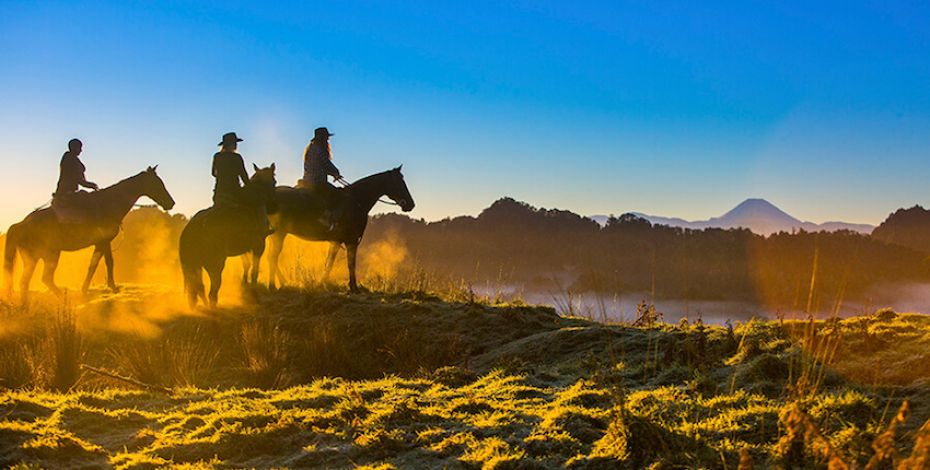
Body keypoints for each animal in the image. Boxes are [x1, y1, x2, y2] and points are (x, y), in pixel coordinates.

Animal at [4, 167, 176, 302]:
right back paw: (62, 299)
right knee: (43, 278)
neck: (107, 204)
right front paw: (100, 289)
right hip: (48, 255)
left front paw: (100, 288)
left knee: (25, 282)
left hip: (34, 258)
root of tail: (21, 224)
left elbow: (101, 264)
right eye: (157, 183)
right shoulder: (103, 242)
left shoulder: (103, 242)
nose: (171, 203)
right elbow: (101, 264)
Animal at [179, 163, 276, 306]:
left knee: (198, 289)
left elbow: (246, 265)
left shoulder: (244, 249)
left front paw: (245, 286)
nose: (274, 206)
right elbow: (254, 271)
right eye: (274, 182)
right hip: (214, 264)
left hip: (195, 266)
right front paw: (253, 294)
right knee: (211, 290)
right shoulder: (258, 246)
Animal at [266, 165, 416, 290]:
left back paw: (283, 282)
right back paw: (273, 285)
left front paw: (322, 283)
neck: (357, 201)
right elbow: (351, 263)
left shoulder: (336, 241)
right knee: (272, 257)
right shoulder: (351, 241)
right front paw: (353, 288)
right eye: (400, 182)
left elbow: (330, 263)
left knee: (270, 256)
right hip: (279, 233)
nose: (411, 204)